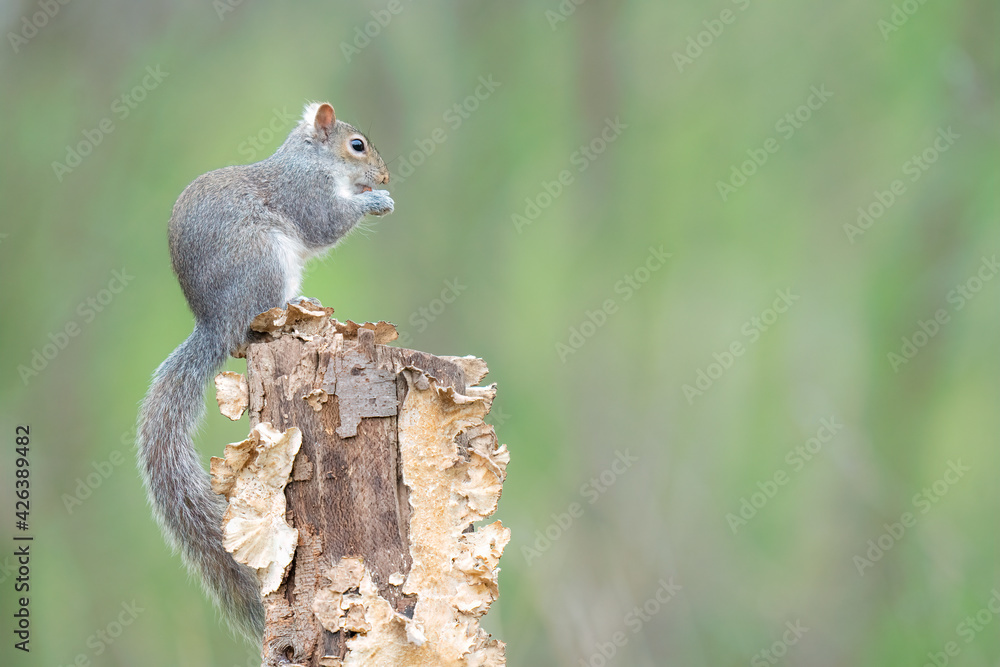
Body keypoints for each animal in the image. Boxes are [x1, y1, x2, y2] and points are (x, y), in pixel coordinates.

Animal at [135, 103, 392, 640]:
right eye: (357, 145)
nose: (383, 176)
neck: (311, 161)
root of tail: (214, 324)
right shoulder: (305, 195)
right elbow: (325, 223)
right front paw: (375, 201)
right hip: (265, 263)